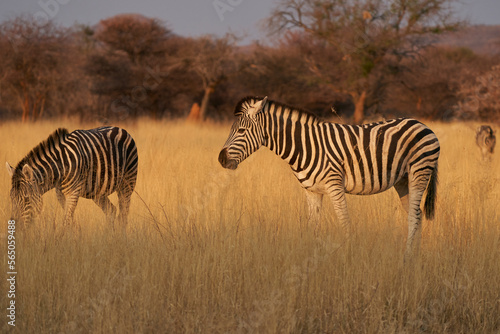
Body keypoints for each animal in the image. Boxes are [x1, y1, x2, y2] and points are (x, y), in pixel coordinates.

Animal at [6, 126, 139, 228]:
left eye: (26, 199)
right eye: (11, 198)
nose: (15, 228)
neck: (60, 166)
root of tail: (120, 128)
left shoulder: (73, 192)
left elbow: (66, 221)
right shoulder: (60, 193)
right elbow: (70, 220)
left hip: (127, 182)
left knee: (123, 215)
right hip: (97, 191)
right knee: (111, 211)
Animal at [221, 95, 440, 258]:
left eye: (241, 130)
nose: (221, 159)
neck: (305, 146)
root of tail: (422, 124)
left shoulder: (335, 186)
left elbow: (345, 223)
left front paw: (348, 259)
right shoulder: (311, 191)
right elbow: (312, 227)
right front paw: (311, 258)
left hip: (419, 171)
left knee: (413, 215)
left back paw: (407, 258)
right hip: (403, 181)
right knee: (417, 214)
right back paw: (415, 256)